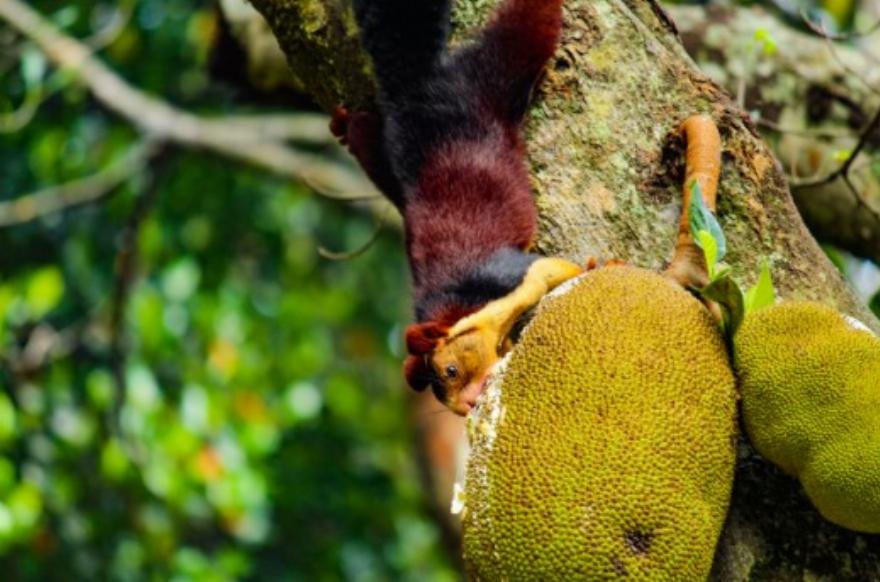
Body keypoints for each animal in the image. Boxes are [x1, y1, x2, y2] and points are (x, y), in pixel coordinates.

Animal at [331, 0, 584, 415]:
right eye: (444, 400)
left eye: (450, 370)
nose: (467, 405)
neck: (460, 312)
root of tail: (418, 88)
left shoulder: (505, 277)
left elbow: (555, 268)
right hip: (390, 148)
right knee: (367, 140)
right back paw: (344, 125)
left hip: (488, 80)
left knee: (526, 30)